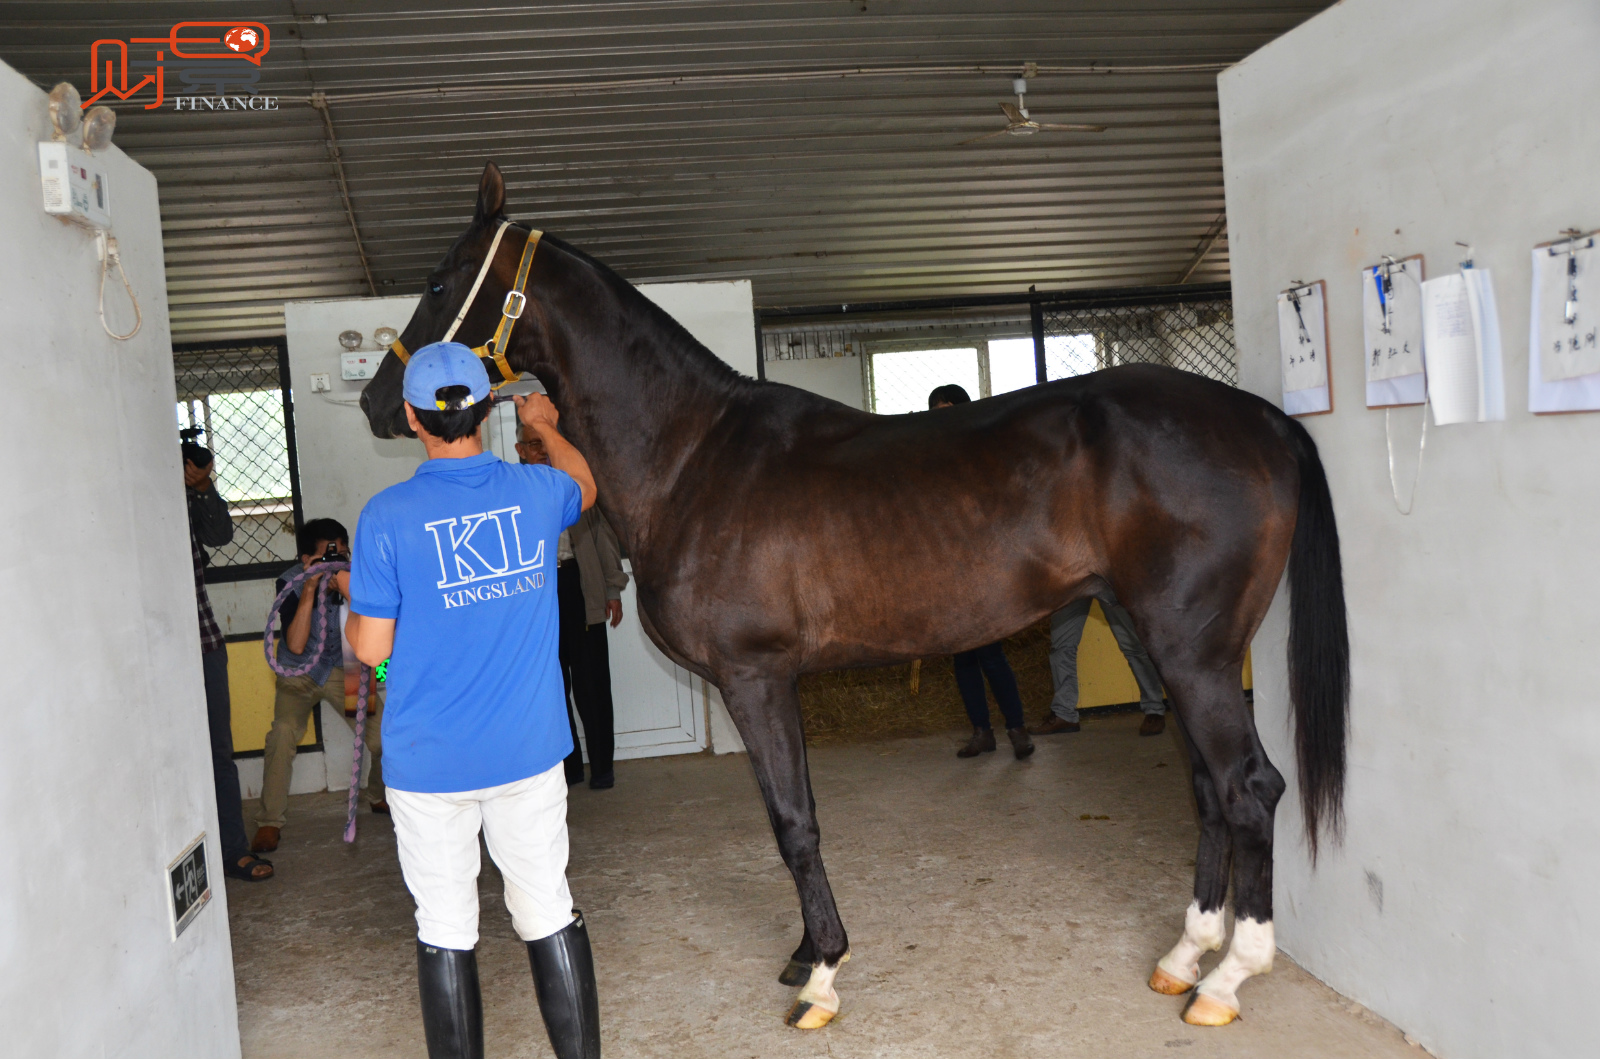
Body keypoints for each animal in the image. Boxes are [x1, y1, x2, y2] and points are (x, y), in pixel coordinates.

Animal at [359, 162, 1349, 1030]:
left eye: (442, 280)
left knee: (1249, 787)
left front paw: (823, 976)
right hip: (1185, 654)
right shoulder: (767, 682)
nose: (379, 403)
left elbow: (794, 824)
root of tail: (1260, 418)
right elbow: (789, 813)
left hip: (1193, 653)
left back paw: (1226, 978)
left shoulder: (755, 678)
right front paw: (806, 949)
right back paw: (1184, 956)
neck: (694, 455)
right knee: (1209, 787)